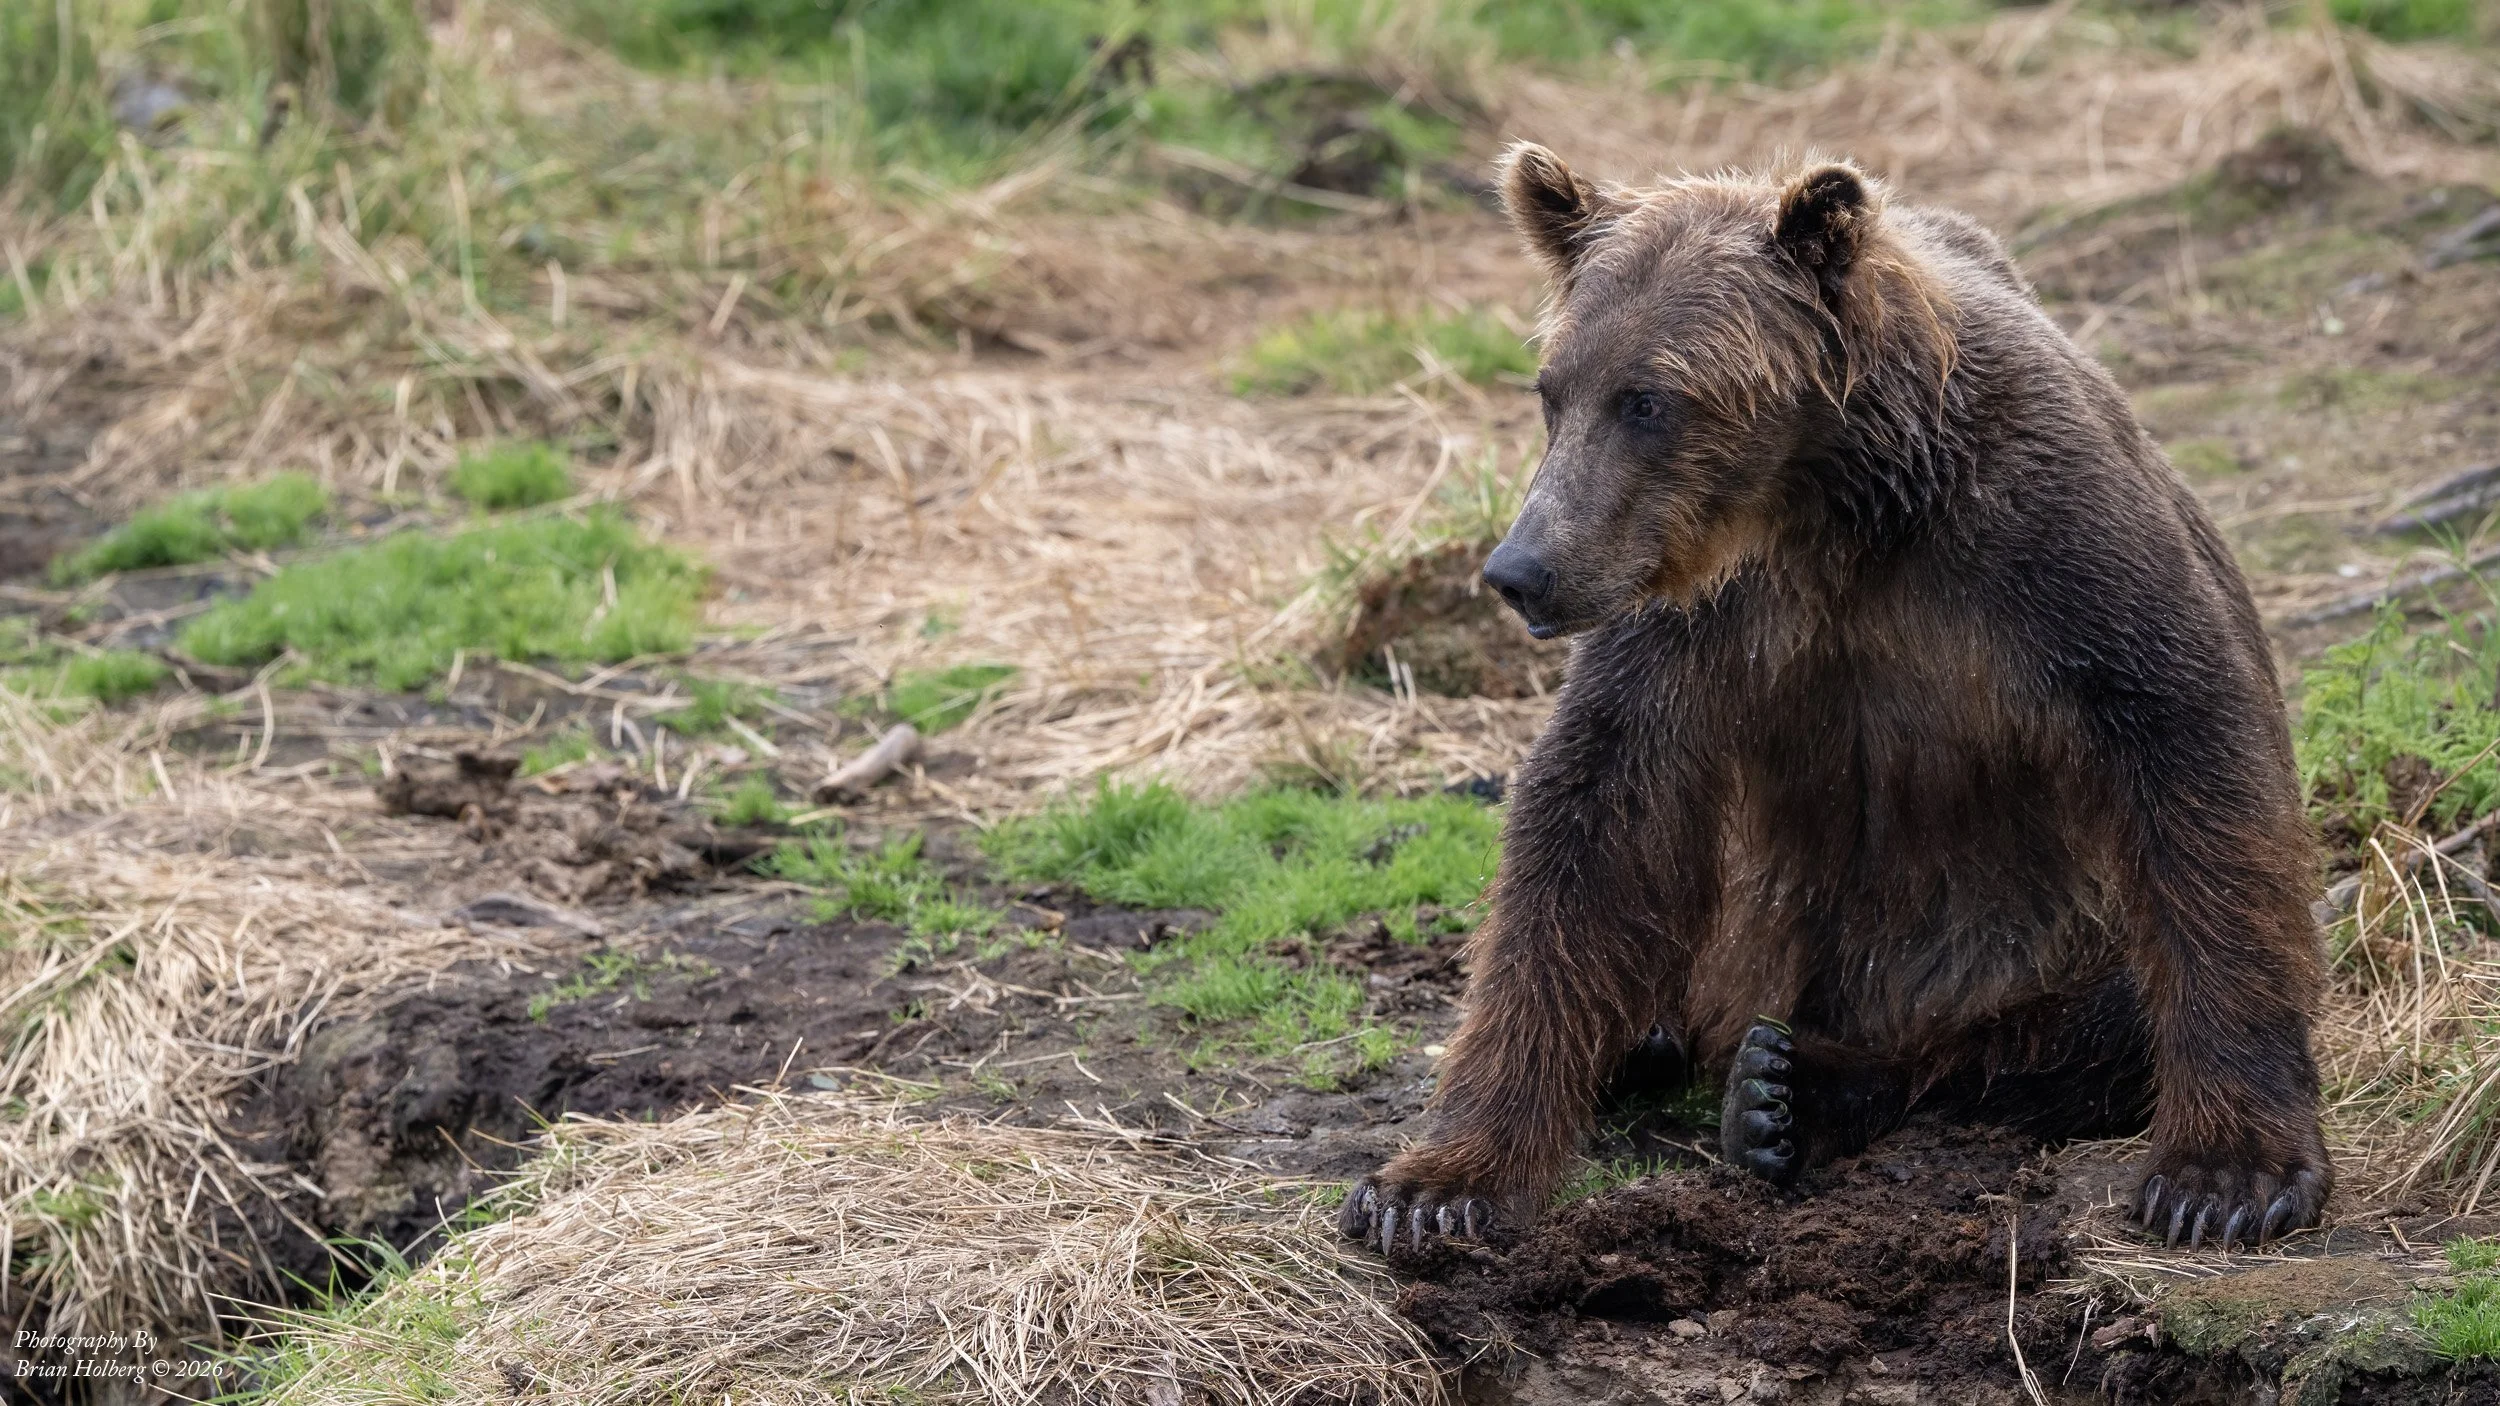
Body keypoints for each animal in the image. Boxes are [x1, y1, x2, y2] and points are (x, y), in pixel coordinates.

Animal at [1340, 146, 2331, 1255]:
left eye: (1648, 399)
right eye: (1553, 391)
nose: (1520, 569)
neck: (1839, 504)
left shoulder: (2048, 541)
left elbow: (2191, 750)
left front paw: (2224, 1174)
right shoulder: (1702, 618)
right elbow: (1592, 821)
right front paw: (1433, 1184)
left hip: (2029, 943)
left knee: (2089, 1015)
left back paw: (1786, 1090)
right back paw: (1664, 1048)